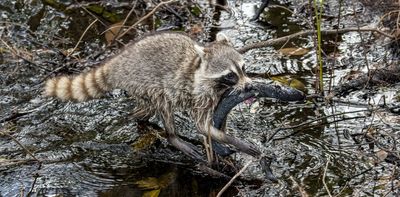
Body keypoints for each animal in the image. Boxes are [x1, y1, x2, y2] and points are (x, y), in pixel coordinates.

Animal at [44, 32, 260, 161]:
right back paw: (172, 137)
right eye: (230, 75)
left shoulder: (219, 95)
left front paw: (224, 136)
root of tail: (117, 62)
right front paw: (234, 141)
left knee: (146, 109)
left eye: (243, 68)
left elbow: (219, 117)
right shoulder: (199, 93)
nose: (249, 85)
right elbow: (202, 125)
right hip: (143, 83)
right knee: (162, 102)